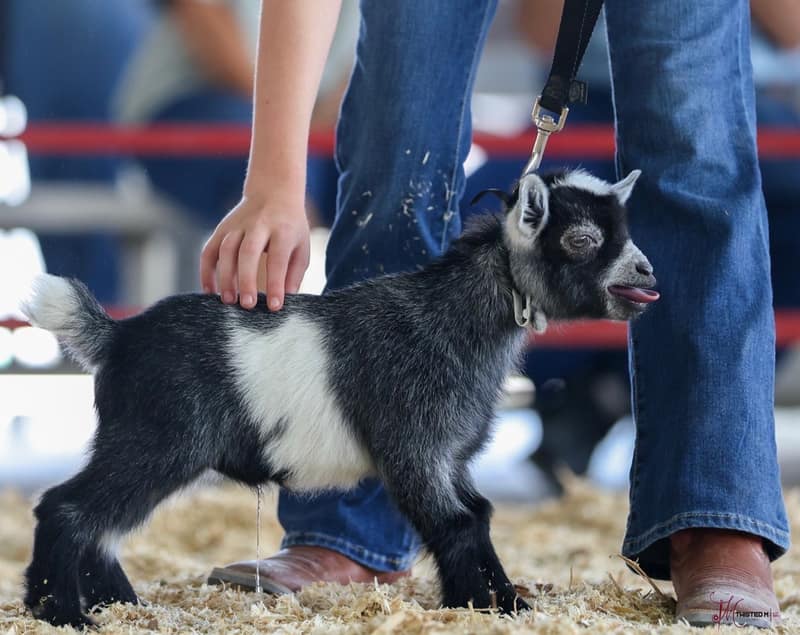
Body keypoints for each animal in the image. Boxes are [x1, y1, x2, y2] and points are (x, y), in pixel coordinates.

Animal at [22, 170, 658, 627]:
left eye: (626, 232)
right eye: (582, 240)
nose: (648, 274)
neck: (448, 318)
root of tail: (116, 335)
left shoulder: (451, 456)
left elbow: (477, 516)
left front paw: (505, 603)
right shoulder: (414, 447)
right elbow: (454, 525)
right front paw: (482, 605)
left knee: (101, 526)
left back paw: (121, 607)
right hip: (156, 440)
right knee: (68, 508)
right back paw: (61, 612)